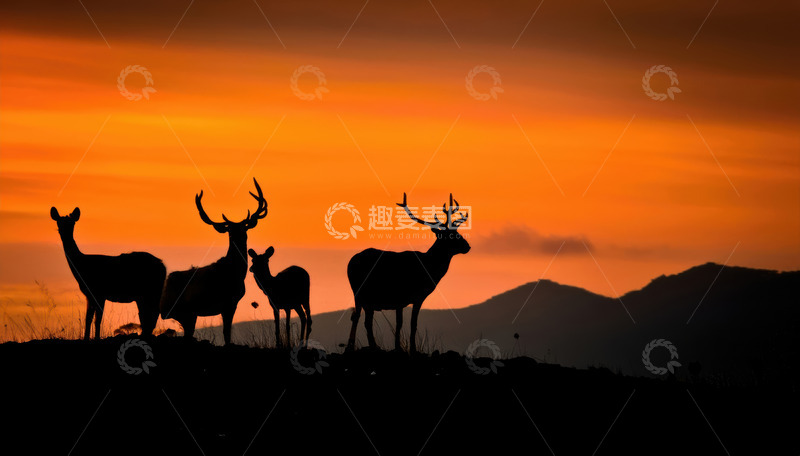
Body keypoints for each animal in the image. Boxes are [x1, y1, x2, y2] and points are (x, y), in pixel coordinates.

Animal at [50, 207, 166, 340]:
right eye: (58, 222)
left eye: (72, 223)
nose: (63, 233)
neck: (82, 267)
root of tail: (163, 266)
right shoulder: (89, 295)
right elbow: (88, 318)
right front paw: (86, 338)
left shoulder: (100, 292)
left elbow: (98, 319)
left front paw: (96, 338)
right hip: (145, 294)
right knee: (147, 314)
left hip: (150, 291)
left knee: (152, 313)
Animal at [159, 178, 268, 345]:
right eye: (230, 230)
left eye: (244, 227)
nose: (239, 237)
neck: (234, 273)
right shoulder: (228, 302)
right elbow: (226, 332)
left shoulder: (231, 303)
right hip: (186, 311)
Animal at [346, 193, 470, 353]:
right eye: (450, 235)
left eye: (457, 232)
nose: (467, 246)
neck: (430, 269)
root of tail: (350, 264)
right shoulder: (406, 296)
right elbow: (404, 324)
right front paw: (406, 348)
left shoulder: (411, 299)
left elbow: (409, 324)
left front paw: (405, 347)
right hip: (361, 293)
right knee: (362, 319)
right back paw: (367, 346)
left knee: (358, 317)